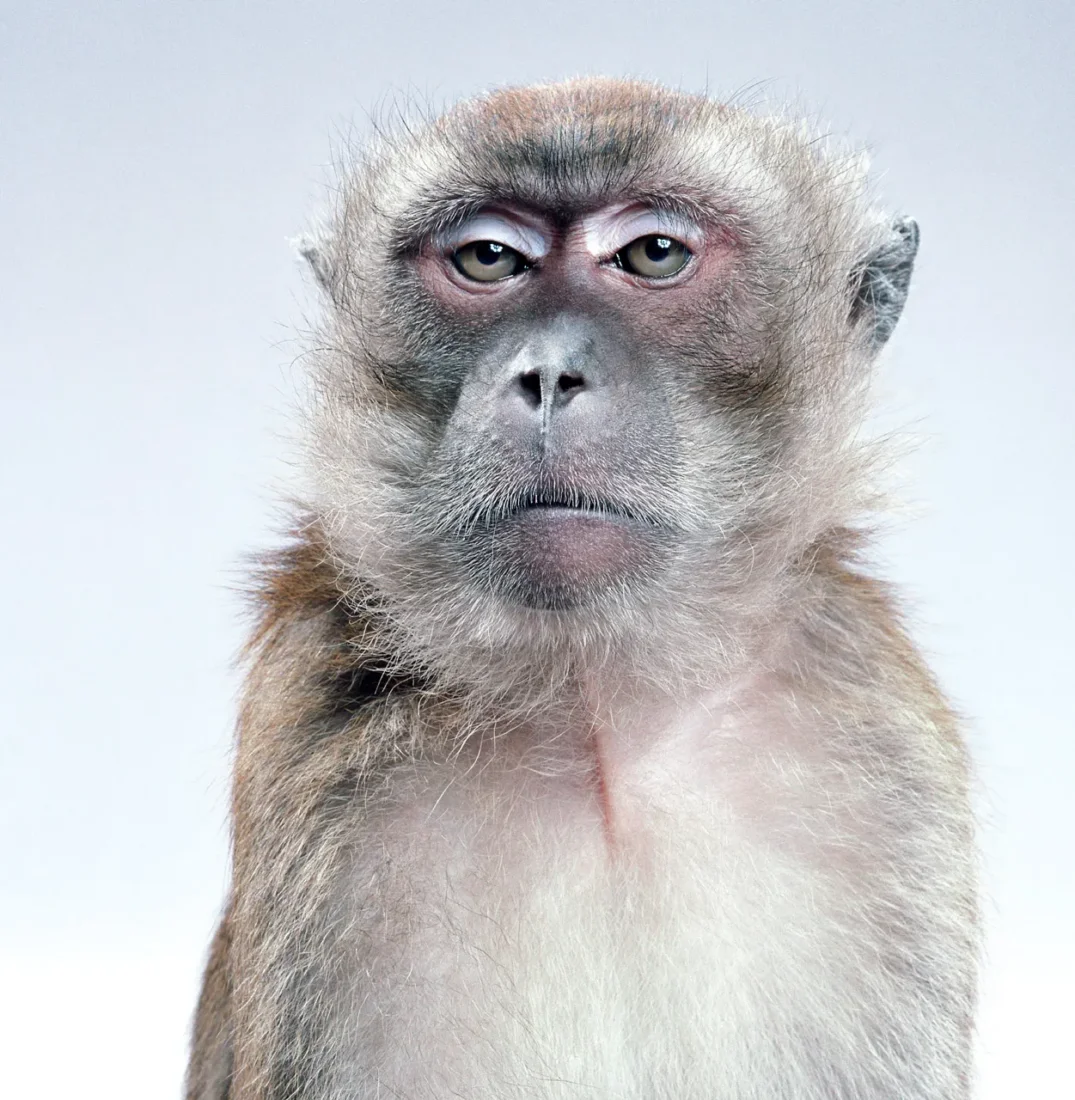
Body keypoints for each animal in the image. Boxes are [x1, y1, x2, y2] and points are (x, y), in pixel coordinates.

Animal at [185, 78, 977, 1100]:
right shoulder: (324, 758)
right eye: (487, 258)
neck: (597, 705)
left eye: (653, 253)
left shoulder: (877, 748)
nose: (549, 373)